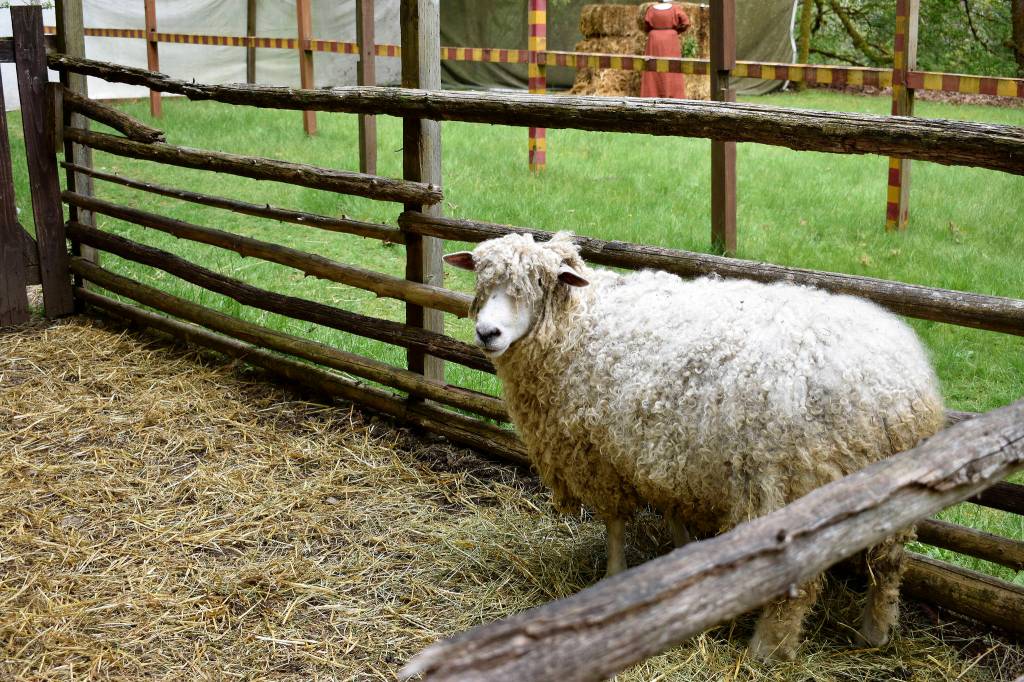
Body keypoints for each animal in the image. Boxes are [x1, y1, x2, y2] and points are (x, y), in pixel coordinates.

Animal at [444, 231, 947, 660]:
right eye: (483, 280)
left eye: (537, 284)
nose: (486, 333)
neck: (582, 324)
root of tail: (892, 387)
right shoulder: (666, 451)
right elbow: (672, 513)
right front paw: (680, 564)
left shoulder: (601, 457)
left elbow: (614, 524)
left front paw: (614, 576)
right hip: (894, 490)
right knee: (890, 564)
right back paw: (875, 633)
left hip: (793, 483)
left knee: (802, 584)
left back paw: (767, 649)